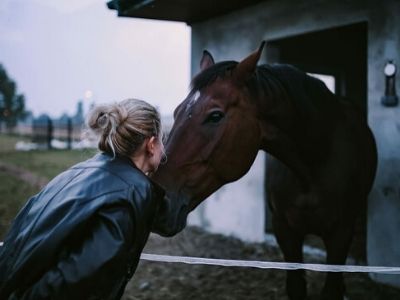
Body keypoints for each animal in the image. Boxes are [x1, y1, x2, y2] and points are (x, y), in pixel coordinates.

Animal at [152, 42, 376, 300]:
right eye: (177, 112)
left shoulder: (341, 235)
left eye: (215, 115)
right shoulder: (285, 231)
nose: (158, 202)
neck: (315, 163)